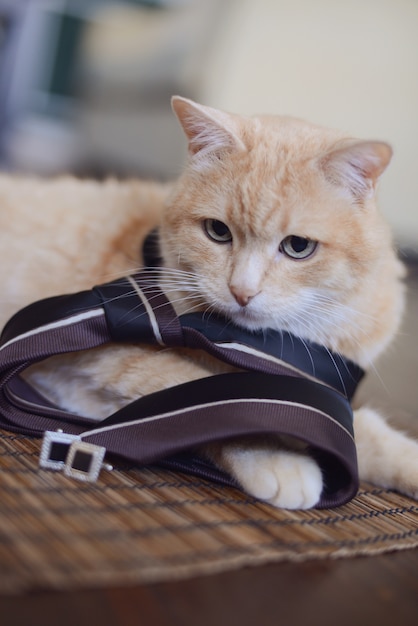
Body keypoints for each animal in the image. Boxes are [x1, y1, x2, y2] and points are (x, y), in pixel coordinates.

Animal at [0, 97, 418, 508]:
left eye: (298, 246)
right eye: (217, 231)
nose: (242, 291)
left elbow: (359, 431)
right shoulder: (100, 360)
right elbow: (217, 400)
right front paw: (278, 457)